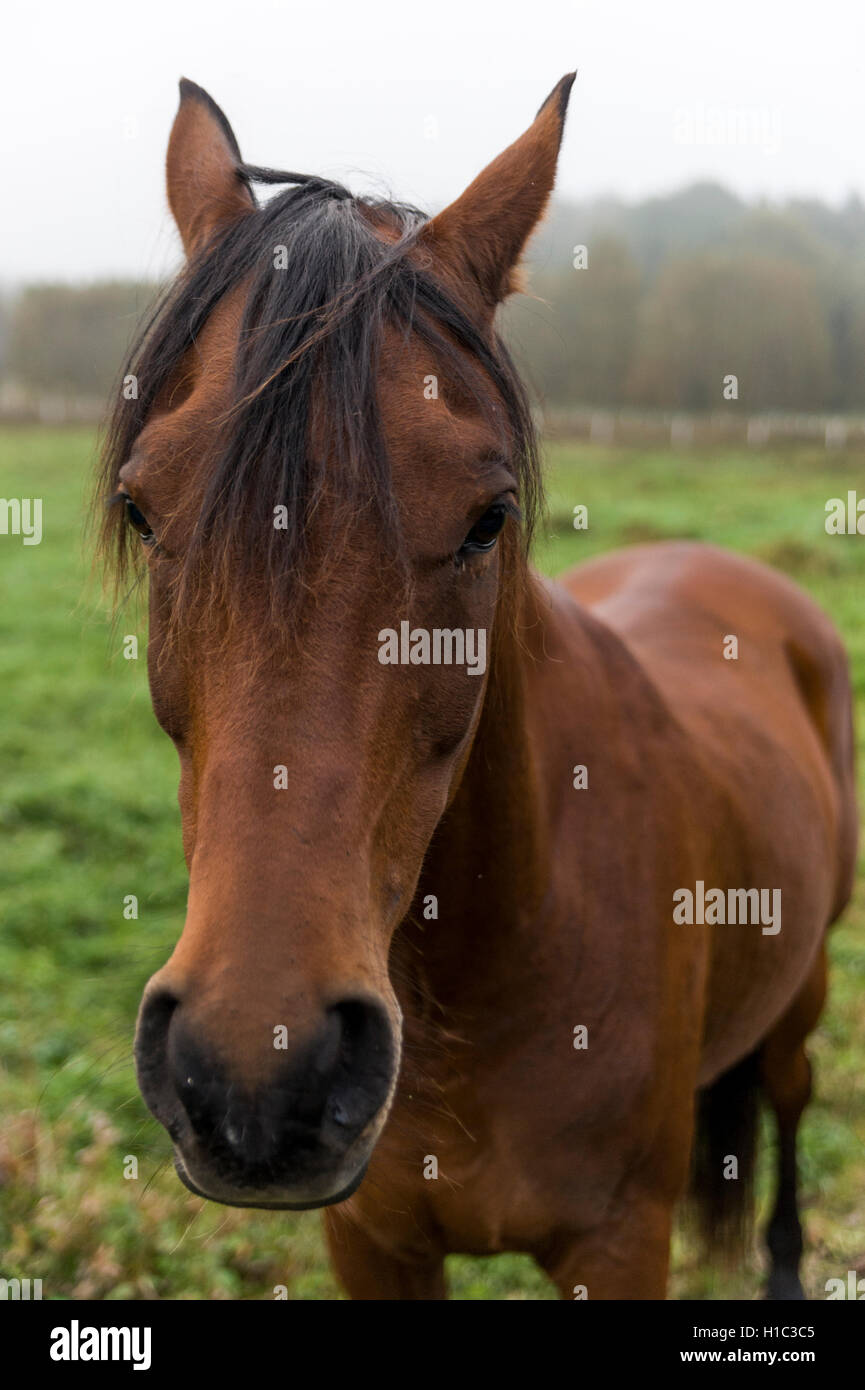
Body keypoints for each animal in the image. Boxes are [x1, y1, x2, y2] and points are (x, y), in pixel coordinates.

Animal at [98, 75, 857, 1300]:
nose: (259, 1074)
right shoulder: (373, 1243)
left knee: (789, 1103)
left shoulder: (619, 1243)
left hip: (803, 992)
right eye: (140, 508)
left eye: (486, 518)